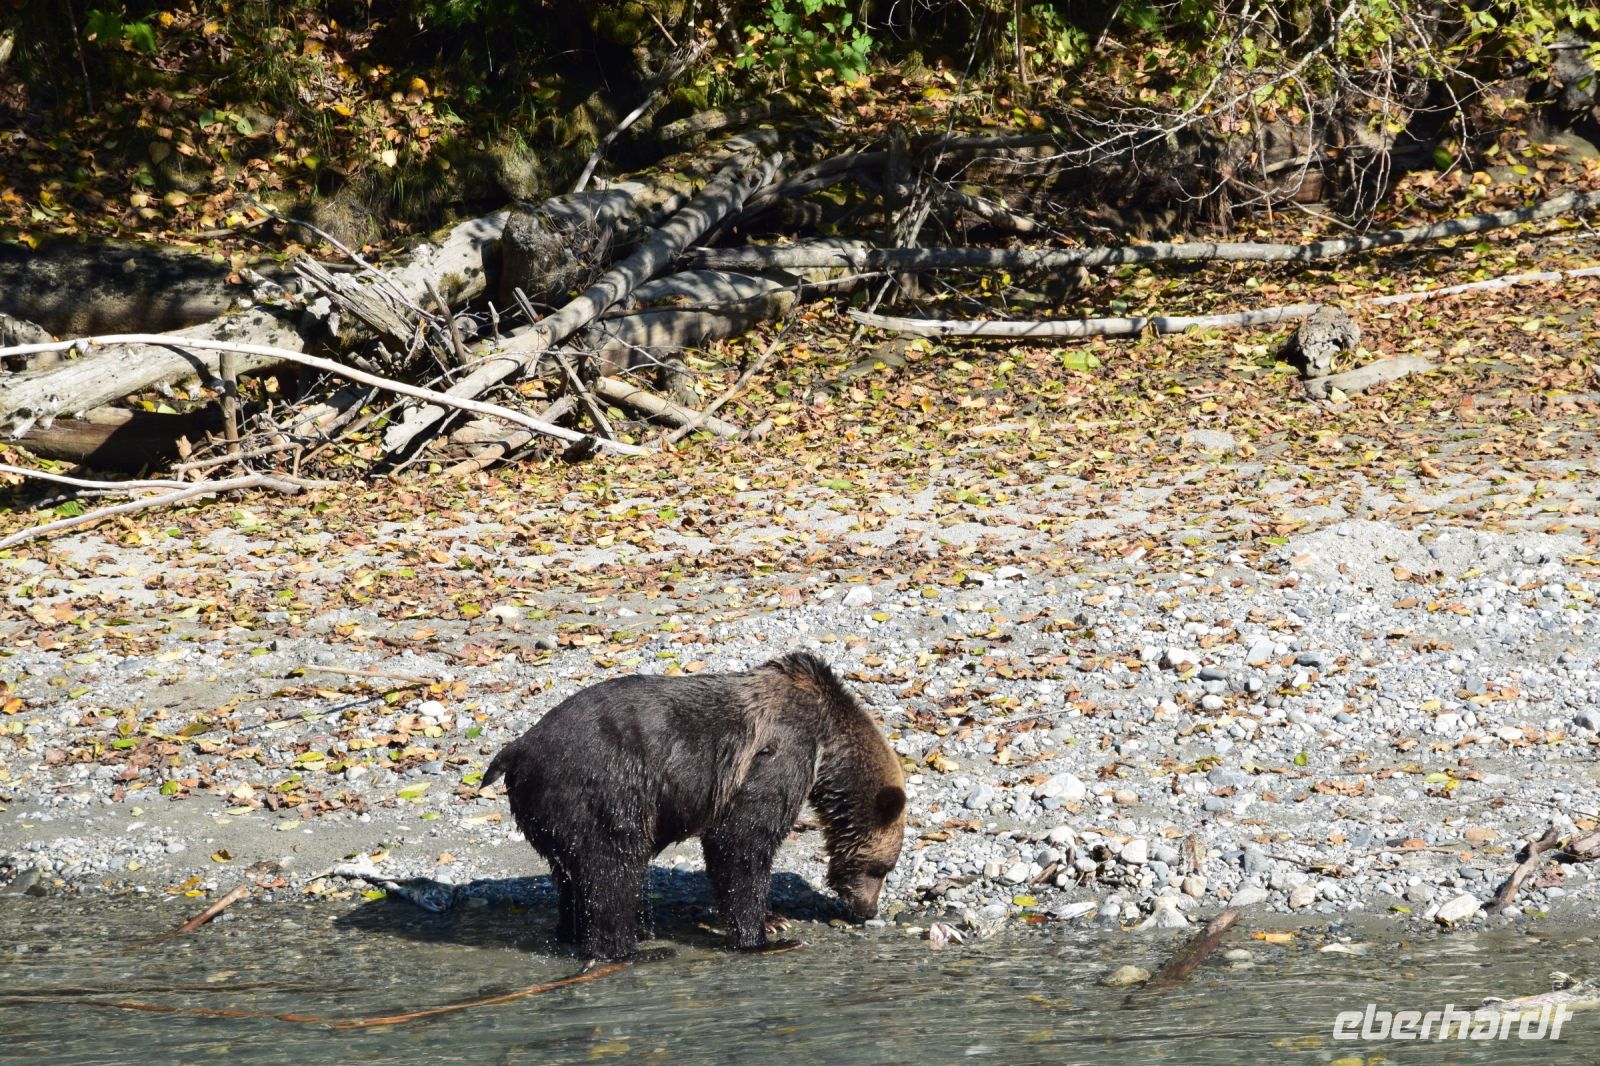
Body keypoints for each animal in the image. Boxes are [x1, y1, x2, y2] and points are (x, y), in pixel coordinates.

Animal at [482, 651, 906, 960]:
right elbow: (742, 840)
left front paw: (774, 918)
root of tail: (516, 750)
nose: (868, 910)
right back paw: (628, 947)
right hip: (600, 787)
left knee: (570, 876)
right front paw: (764, 934)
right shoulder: (779, 752)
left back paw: (576, 933)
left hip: (550, 812)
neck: (826, 742)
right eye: (882, 869)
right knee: (612, 867)